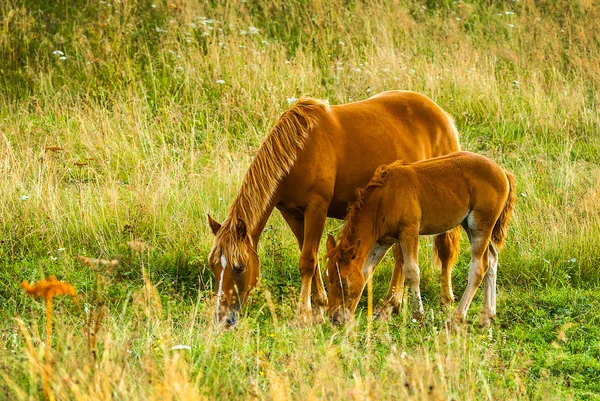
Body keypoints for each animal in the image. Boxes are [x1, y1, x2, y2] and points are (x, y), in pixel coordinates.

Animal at [206, 90, 460, 324]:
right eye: (213, 266)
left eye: (240, 267)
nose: (222, 318)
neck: (300, 149)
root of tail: (442, 116)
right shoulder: (291, 213)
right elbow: (311, 257)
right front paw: (319, 305)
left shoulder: (317, 207)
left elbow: (308, 260)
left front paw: (304, 313)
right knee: (401, 255)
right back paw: (391, 305)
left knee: (444, 249)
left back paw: (445, 300)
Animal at [326, 152, 512, 326]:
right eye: (328, 279)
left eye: (343, 283)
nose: (335, 319)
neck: (385, 198)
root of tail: (502, 172)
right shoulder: (382, 241)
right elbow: (366, 271)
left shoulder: (409, 232)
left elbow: (412, 272)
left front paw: (418, 314)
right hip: (470, 225)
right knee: (492, 259)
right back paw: (487, 315)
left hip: (480, 226)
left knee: (479, 267)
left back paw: (456, 317)